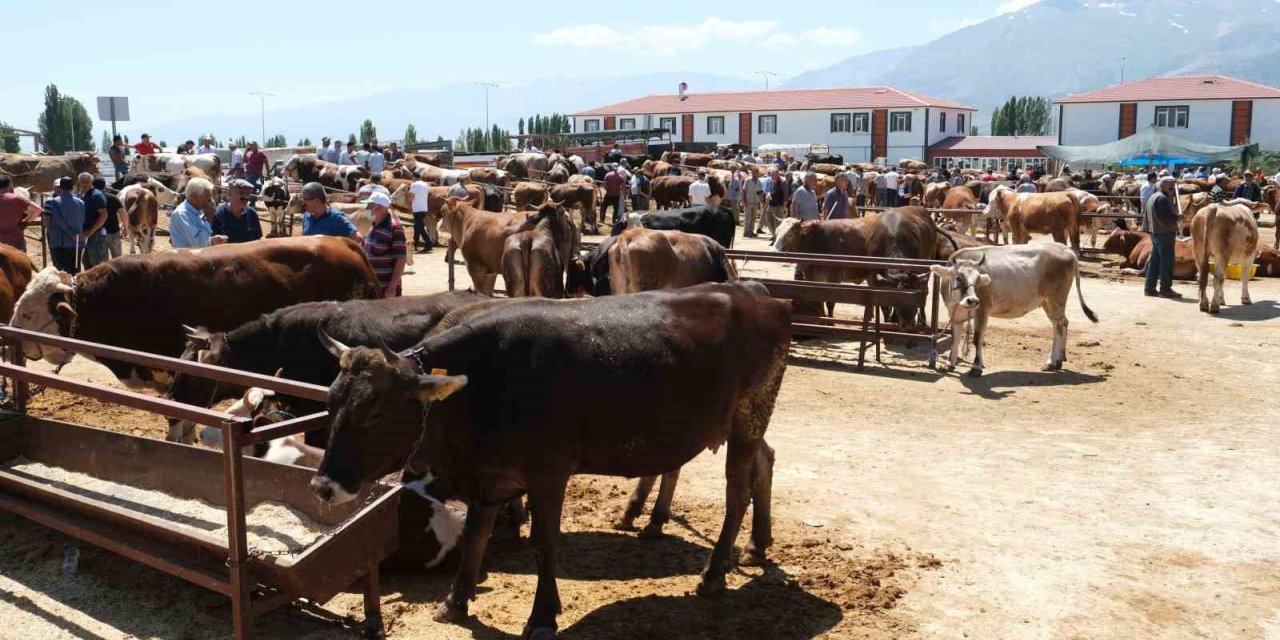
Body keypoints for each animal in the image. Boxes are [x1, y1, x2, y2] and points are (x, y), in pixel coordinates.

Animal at [309, 282, 788, 637]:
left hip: (748, 415)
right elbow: (478, 534)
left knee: (737, 491)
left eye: (375, 413)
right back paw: (755, 544)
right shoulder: (489, 474)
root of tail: (757, 293)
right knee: (765, 462)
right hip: (743, 422)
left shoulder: (548, 474)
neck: (483, 384)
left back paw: (714, 573)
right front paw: (455, 601)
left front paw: (541, 617)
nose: (322, 486)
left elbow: (544, 543)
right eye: (331, 402)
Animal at [931, 243, 1100, 373]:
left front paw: (976, 367)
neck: (958, 302)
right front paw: (950, 364)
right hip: (1047, 301)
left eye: (978, 279)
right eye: (958, 277)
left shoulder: (982, 309)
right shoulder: (954, 314)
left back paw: (1052, 362)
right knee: (1060, 323)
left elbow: (978, 338)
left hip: (1056, 299)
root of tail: (1065, 248)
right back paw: (1057, 360)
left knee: (1060, 324)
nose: (972, 300)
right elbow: (955, 338)